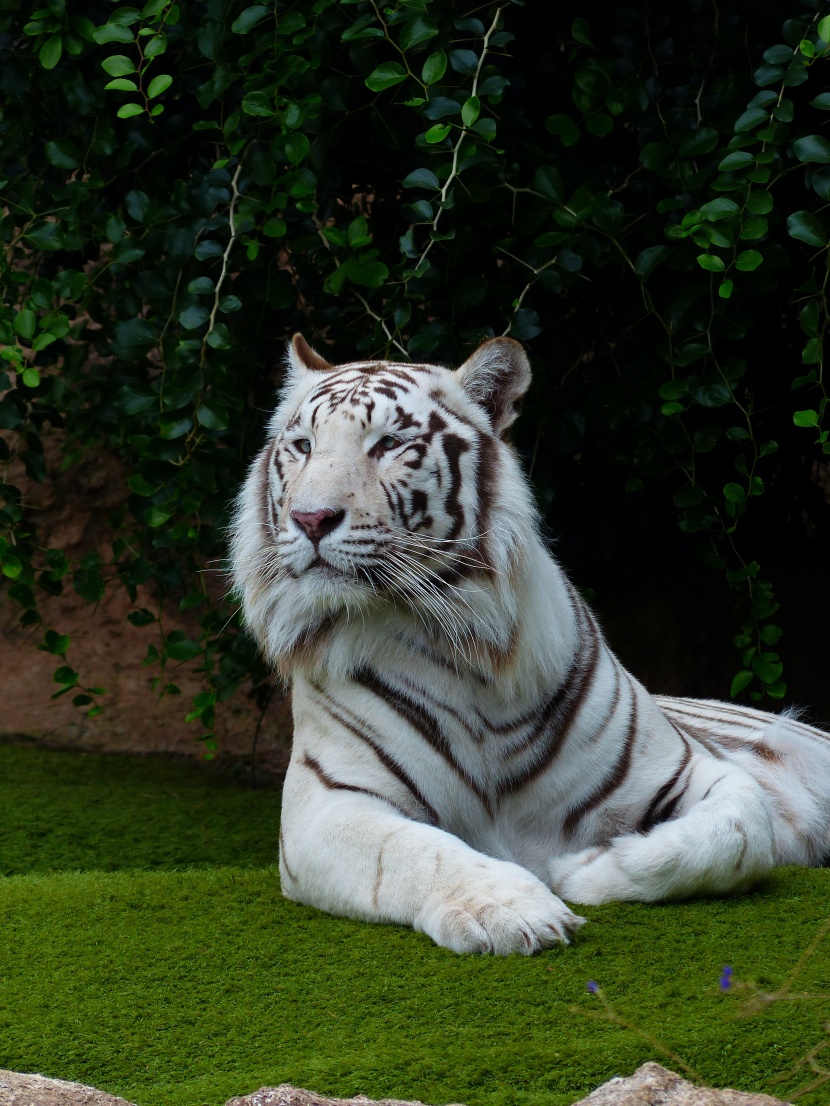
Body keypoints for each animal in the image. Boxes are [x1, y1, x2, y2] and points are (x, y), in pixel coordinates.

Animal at [231, 331, 830, 955]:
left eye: (389, 444)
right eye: (302, 446)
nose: (310, 518)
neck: (462, 650)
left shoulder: (691, 769)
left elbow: (739, 833)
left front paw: (583, 870)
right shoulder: (324, 805)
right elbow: (415, 851)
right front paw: (513, 910)